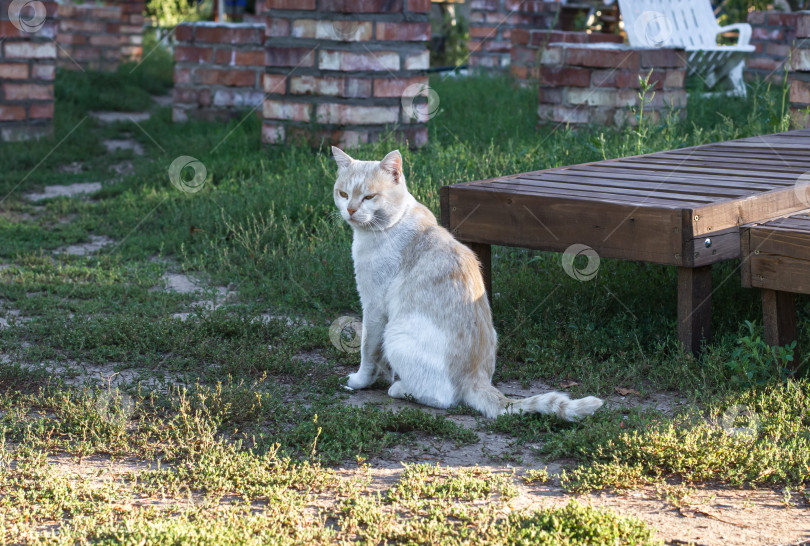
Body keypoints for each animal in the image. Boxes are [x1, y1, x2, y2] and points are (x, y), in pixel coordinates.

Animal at [328, 147, 600, 418]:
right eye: (343, 194)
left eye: (369, 197)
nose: (350, 210)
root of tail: (476, 378)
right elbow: (380, 360)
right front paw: (384, 375)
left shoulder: (373, 307)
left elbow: (367, 352)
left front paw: (361, 381)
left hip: (395, 334)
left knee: (442, 399)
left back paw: (399, 388)